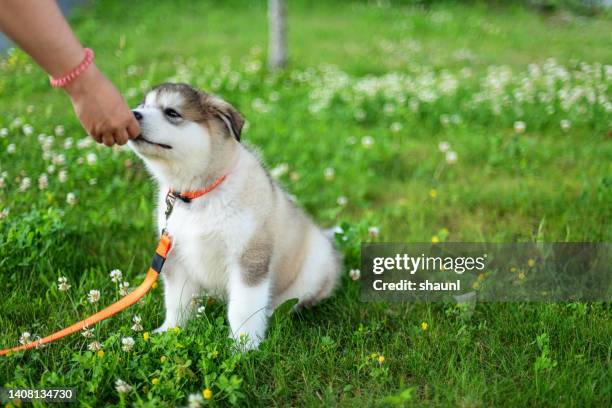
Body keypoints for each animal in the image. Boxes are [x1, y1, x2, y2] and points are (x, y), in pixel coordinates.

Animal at [130, 83, 342, 350]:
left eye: (172, 112)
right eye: (143, 105)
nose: (132, 113)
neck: (197, 195)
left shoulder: (249, 257)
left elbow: (243, 309)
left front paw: (244, 347)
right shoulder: (175, 256)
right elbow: (176, 301)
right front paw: (170, 331)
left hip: (315, 264)